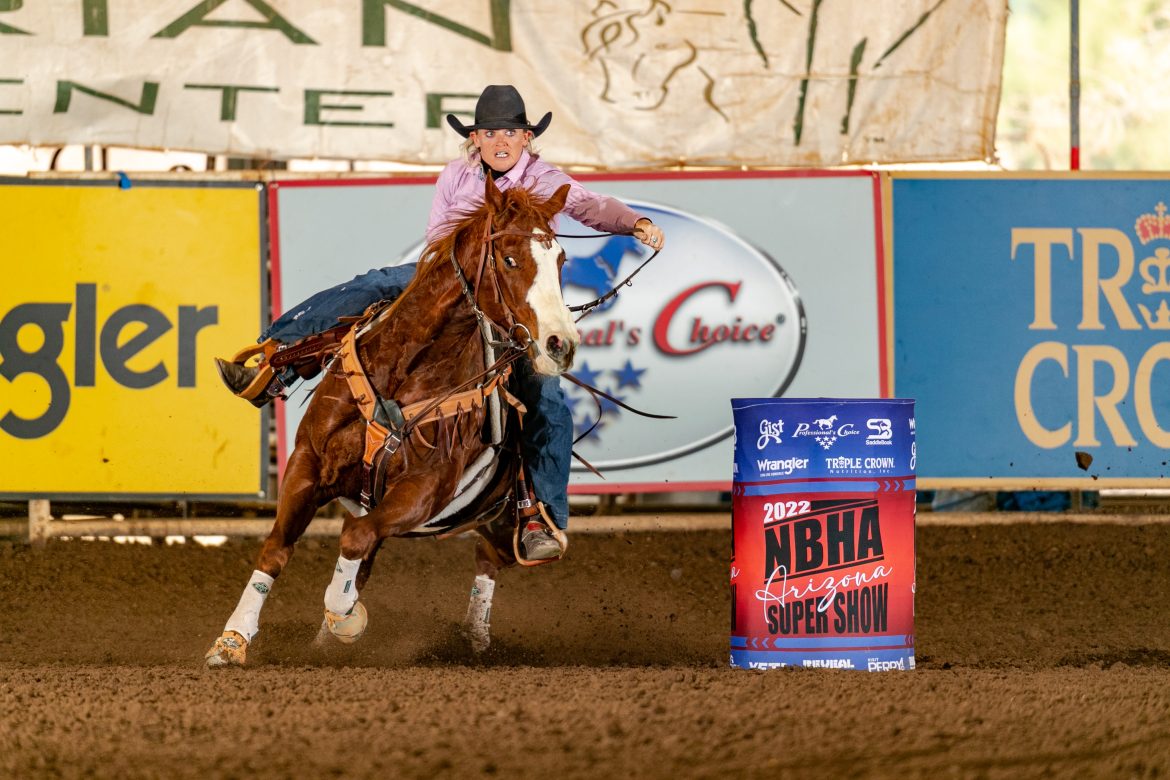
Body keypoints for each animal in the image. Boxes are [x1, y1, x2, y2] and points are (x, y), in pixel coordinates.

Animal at [209, 178, 580, 673]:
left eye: (560, 260)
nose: (561, 344)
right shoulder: (307, 465)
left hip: (503, 522)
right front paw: (232, 640)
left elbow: (354, 540)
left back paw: (476, 635)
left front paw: (344, 616)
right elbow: (277, 548)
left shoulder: (423, 491)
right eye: (509, 259)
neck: (406, 370)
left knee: (487, 557)